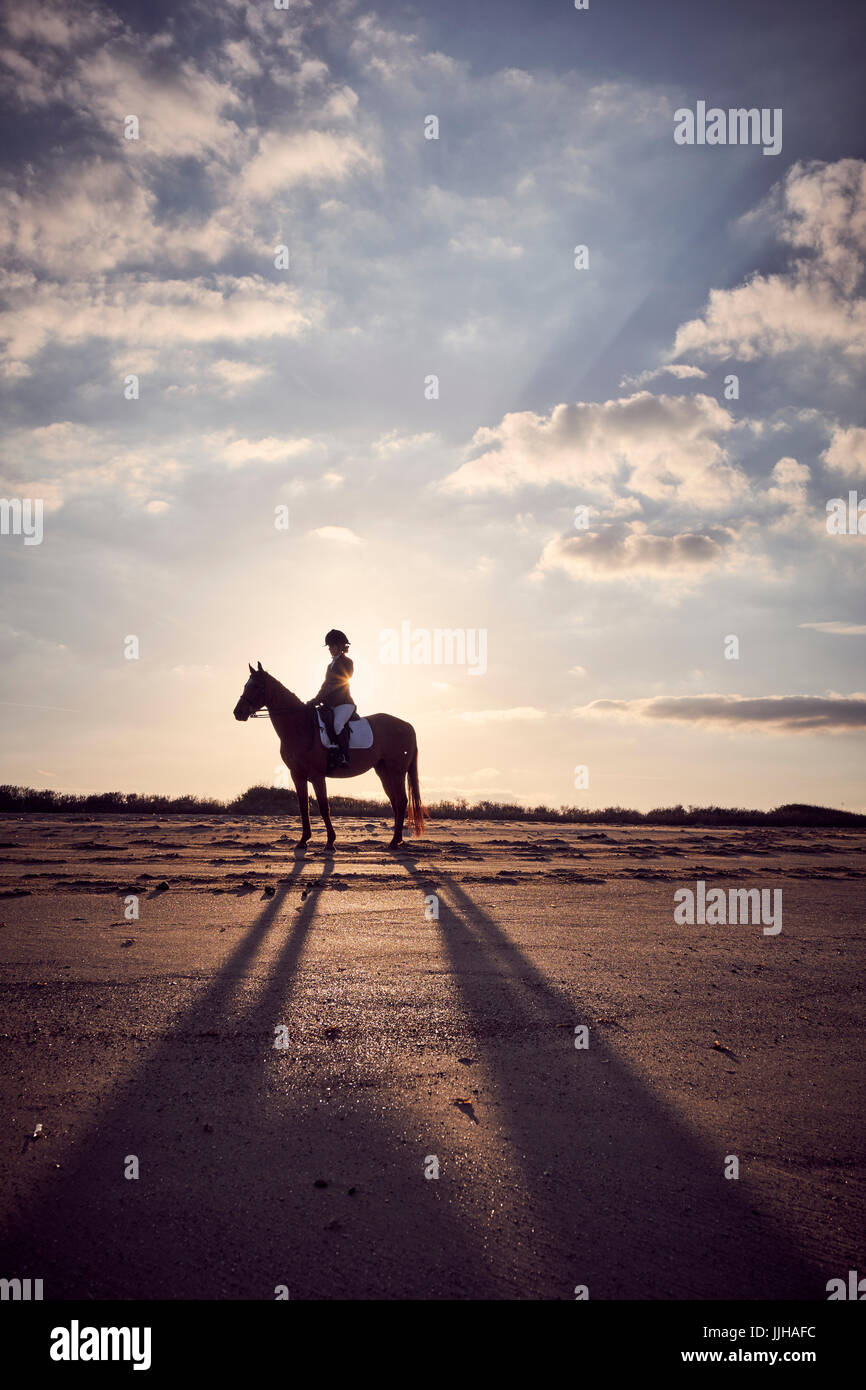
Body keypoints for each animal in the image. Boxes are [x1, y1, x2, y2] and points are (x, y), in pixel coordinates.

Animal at [233, 662, 425, 850]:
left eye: (256, 686)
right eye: (245, 685)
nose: (237, 713)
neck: (300, 726)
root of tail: (407, 725)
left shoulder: (317, 775)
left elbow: (324, 807)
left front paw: (330, 842)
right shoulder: (297, 775)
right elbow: (303, 807)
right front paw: (303, 840)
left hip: (397, 771)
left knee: (401, 801)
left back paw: (394, 842)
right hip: (384, 771)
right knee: (395, 802)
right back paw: (397, 840)